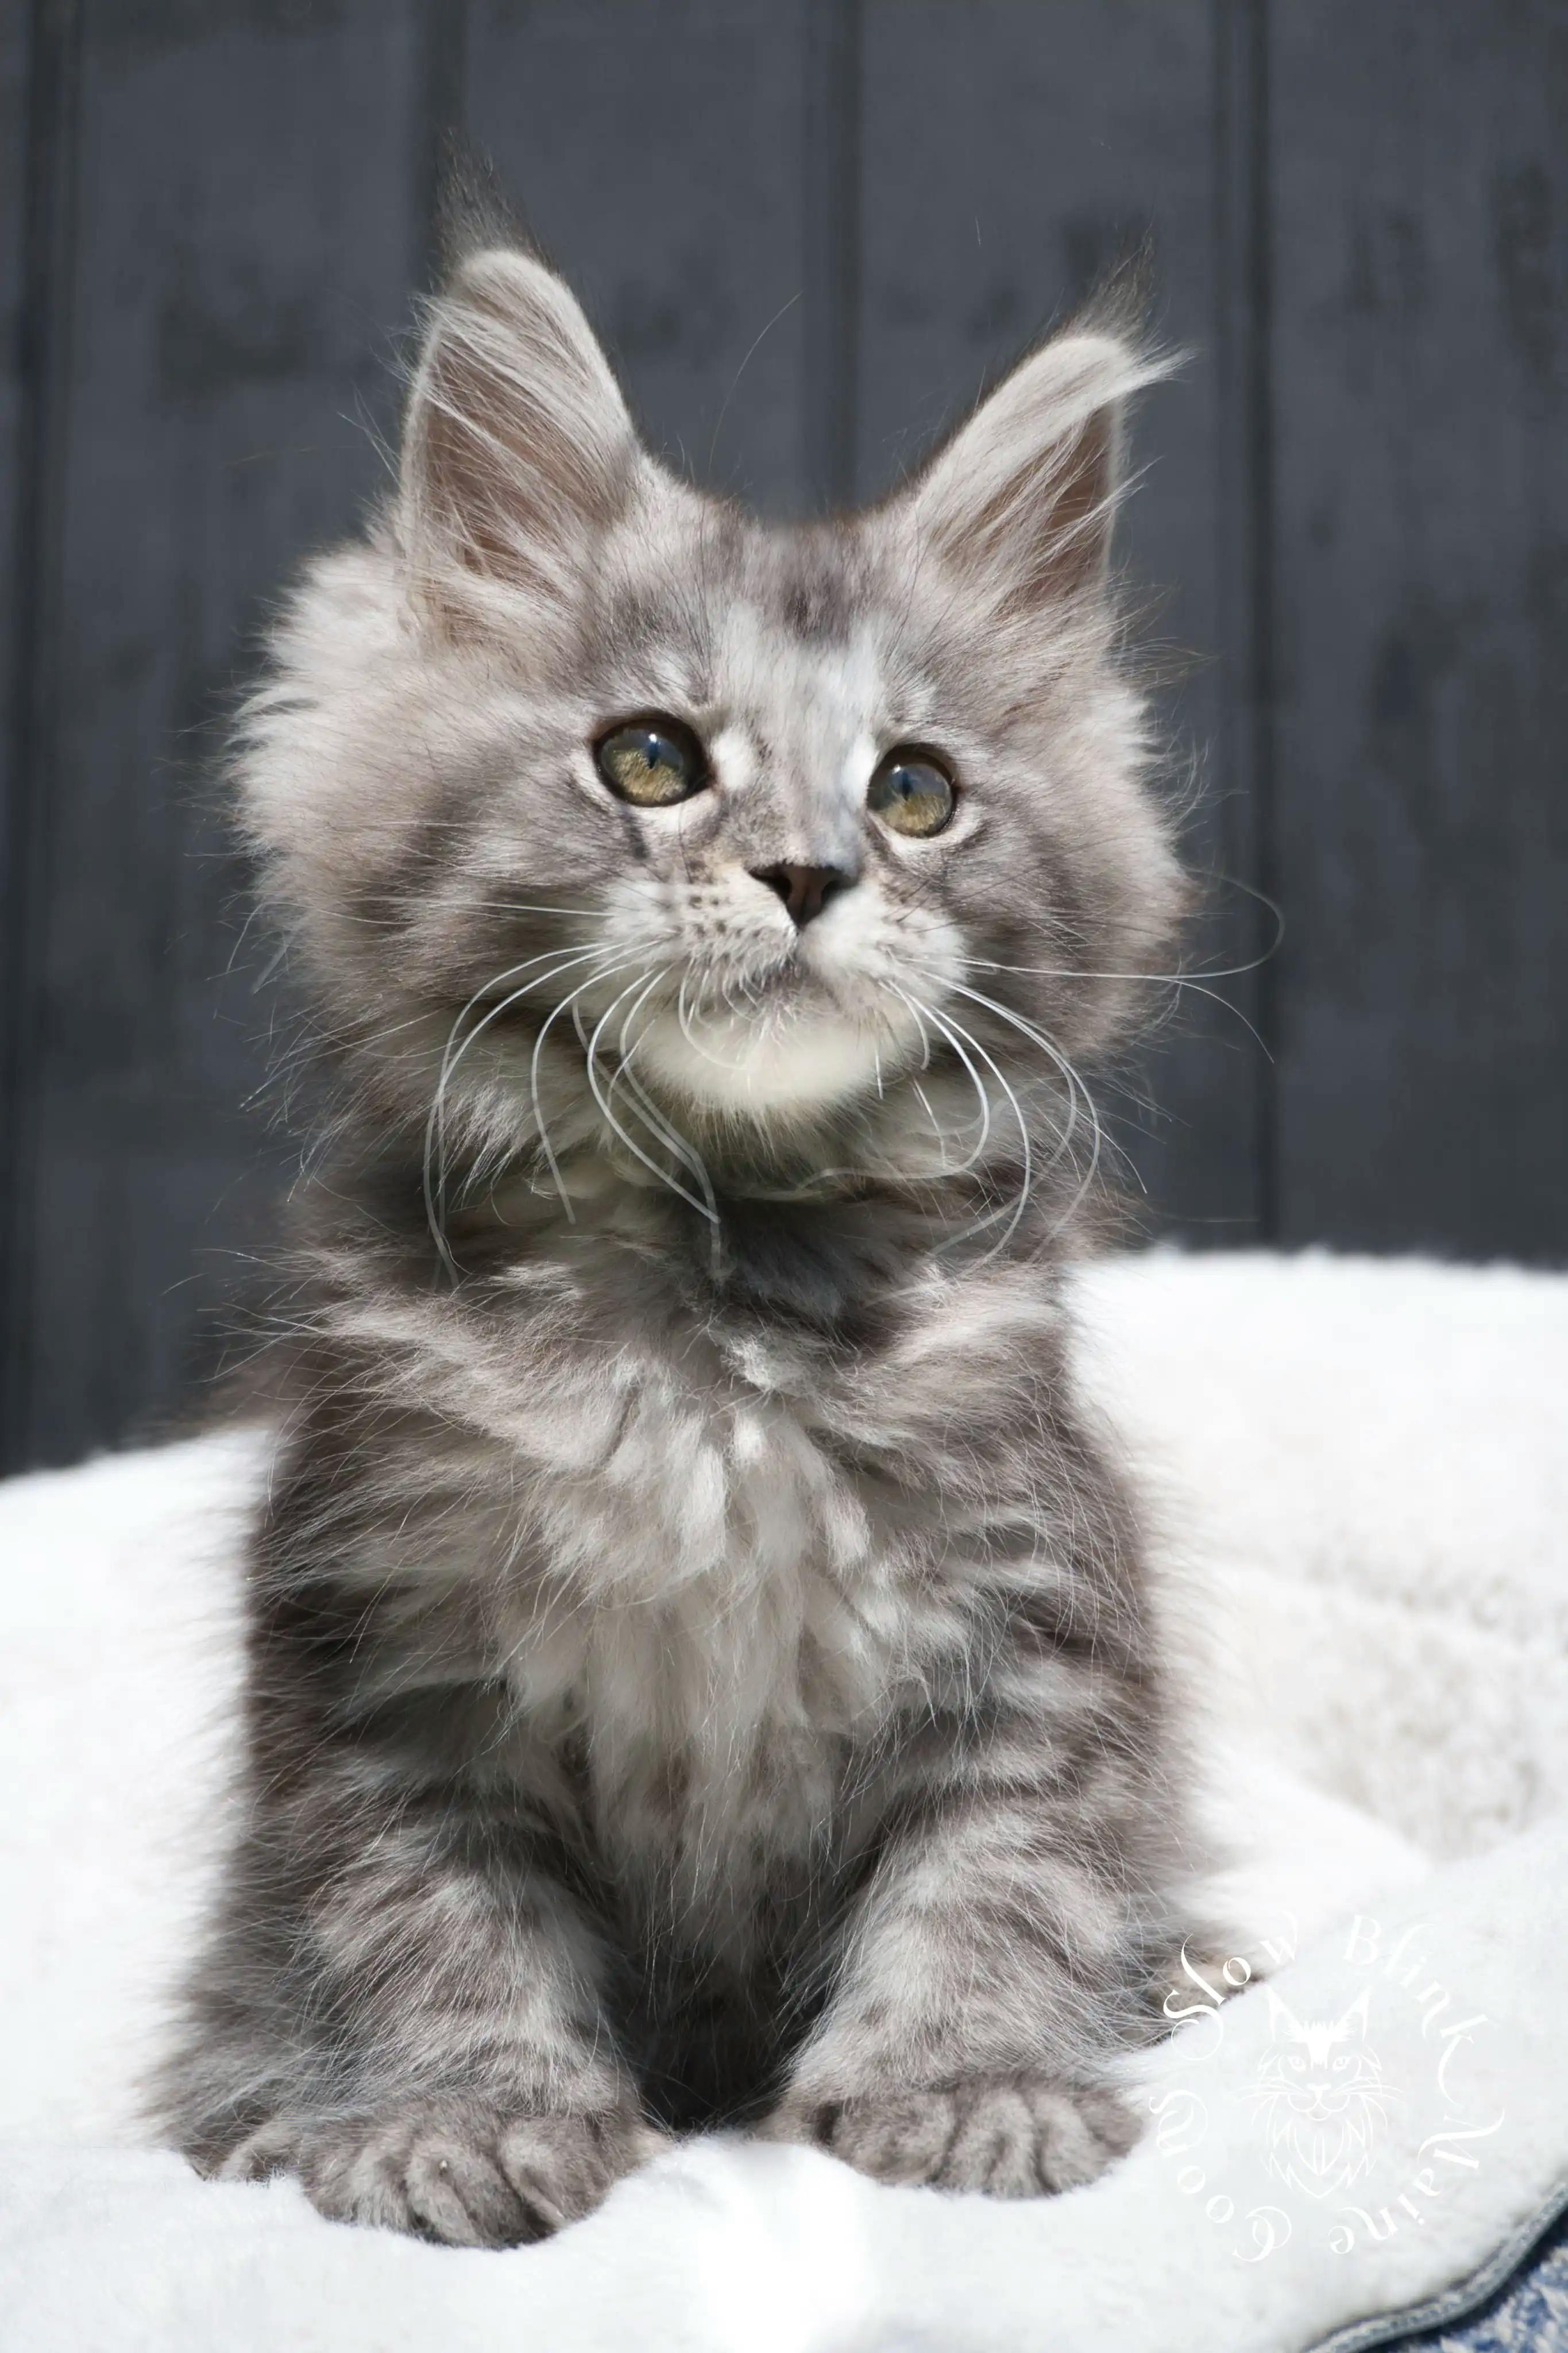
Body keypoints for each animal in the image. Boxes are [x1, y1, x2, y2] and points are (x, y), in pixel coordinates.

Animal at [156, 229, 1203, 2249]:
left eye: (913, 791)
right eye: (647, 760)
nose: (808, 874)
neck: (712, 1299)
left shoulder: (1033, 1630)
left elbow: (1005, 1881)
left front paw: (969, 2091)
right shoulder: (382, 1666)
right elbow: (426, 1922)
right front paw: (463, 2121)